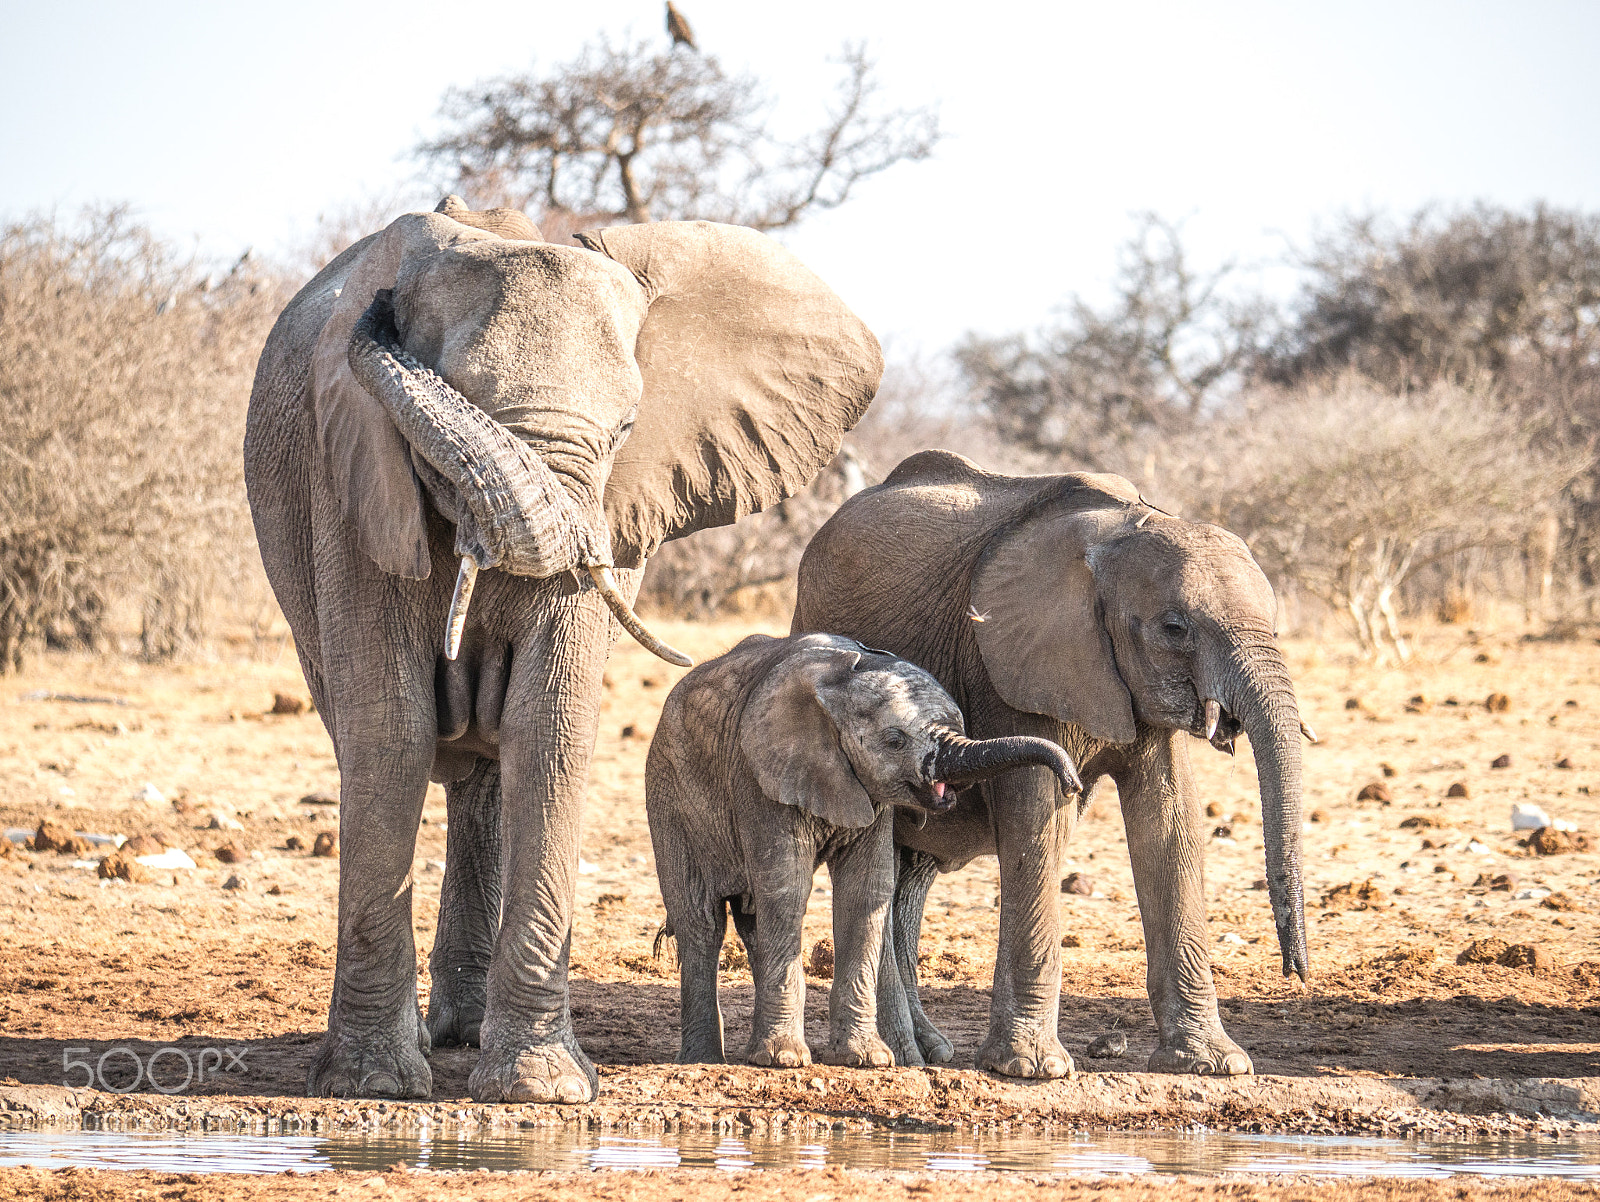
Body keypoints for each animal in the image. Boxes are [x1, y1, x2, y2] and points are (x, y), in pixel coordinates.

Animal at [243, 196, 883, 1103]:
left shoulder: (610, 516)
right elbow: (391, 732)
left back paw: (467, 1034)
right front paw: (372, 1085)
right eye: (453, 405)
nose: (378, 313)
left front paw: (540, 1089)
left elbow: (546, 728)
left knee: (490, 770)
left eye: (627, 428)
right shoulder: (353, 477)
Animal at [646, 632, 1079, 1069]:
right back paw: (703, 1059)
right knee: (701, 921)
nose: (1071, 783)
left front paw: (867, 1059)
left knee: (750, 920)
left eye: (959, 726)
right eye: (894, 741)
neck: (842, 679)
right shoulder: (758, 776)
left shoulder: (872, 795)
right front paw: (784, 1060)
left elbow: (865, 892)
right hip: (668, 796)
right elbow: (787, 889)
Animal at [791, 449, 1312, 1079]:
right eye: (1174, 628)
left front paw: (1216, 1065)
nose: (1297, 973)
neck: (1117, 534)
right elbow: (1038, 820)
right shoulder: (1016, 665)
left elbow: (1170, 823)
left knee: (909, 876)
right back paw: (902, 1055)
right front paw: (1032, 1069)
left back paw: (928, 1049)